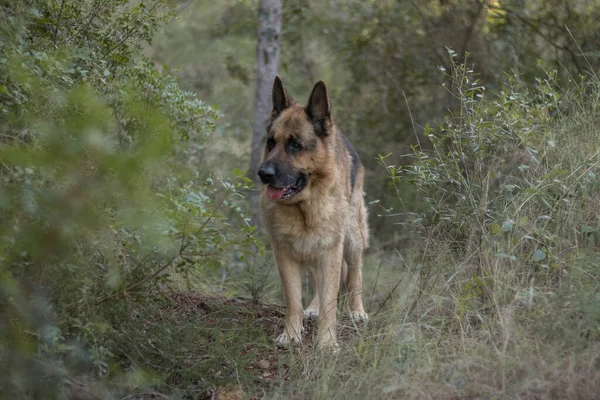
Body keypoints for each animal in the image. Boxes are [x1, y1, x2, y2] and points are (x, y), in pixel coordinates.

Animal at [258, 76, 368, 348]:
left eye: (295, 145)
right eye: (271, 142)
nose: (263, 174)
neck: (304, 207)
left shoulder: (331, 251)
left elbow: (331, 302)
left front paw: (327, 343)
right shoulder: (286, 254)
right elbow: (294, 300)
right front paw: (291, 335)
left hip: (352, 239)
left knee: (355, 274)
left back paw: (357, 311)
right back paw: (314, 308)